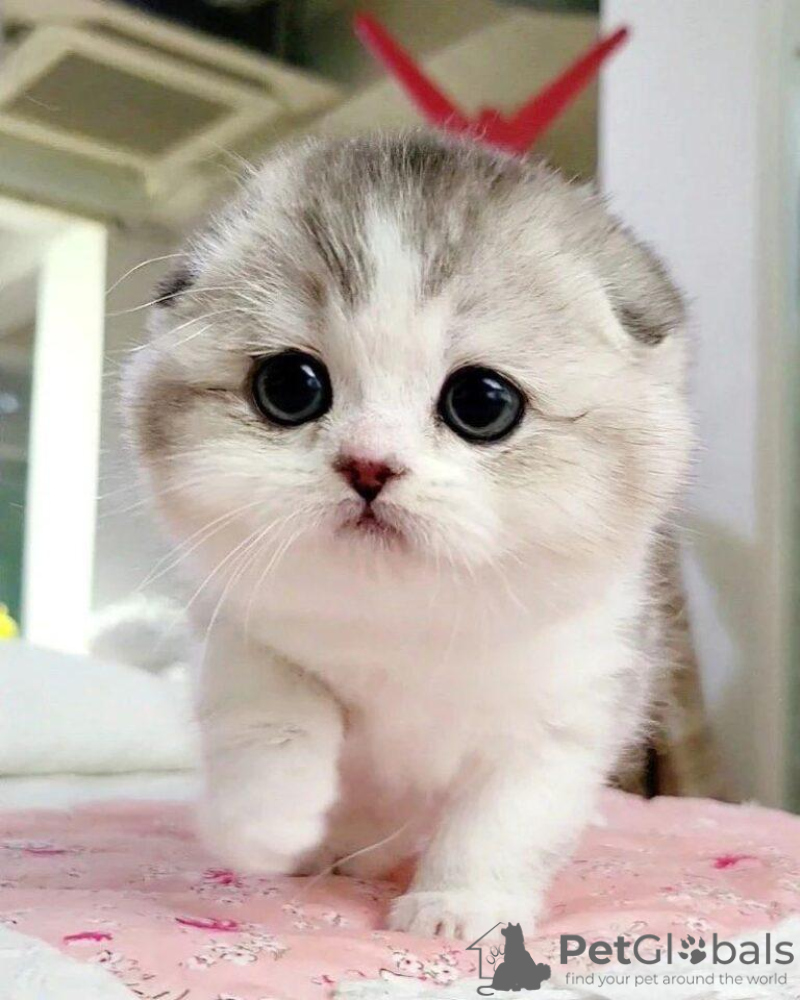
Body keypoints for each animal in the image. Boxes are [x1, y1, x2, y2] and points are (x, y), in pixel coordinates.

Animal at [123, 130, 692, 940]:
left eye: (482, 403)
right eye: (290, 387)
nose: (369, 465)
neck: (409, 626)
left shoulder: (568, 707)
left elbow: (505, 819)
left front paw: (461, 906)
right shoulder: (237, 628)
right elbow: (274, 712)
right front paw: (268, 821)